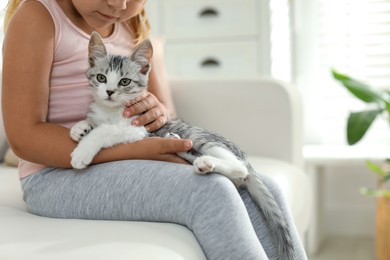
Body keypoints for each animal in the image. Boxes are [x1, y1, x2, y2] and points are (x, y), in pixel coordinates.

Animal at [71, 32, 296, 260]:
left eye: (124, 81)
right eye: (101, 78)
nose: (109, 92)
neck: (111, 111)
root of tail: (247, 159)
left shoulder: (138, 128)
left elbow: (106, 131)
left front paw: (82, 151)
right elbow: (95, 123)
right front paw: (80, 128)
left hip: (202, 138)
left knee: (239, 169)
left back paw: (205, 162)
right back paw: (179, 146)